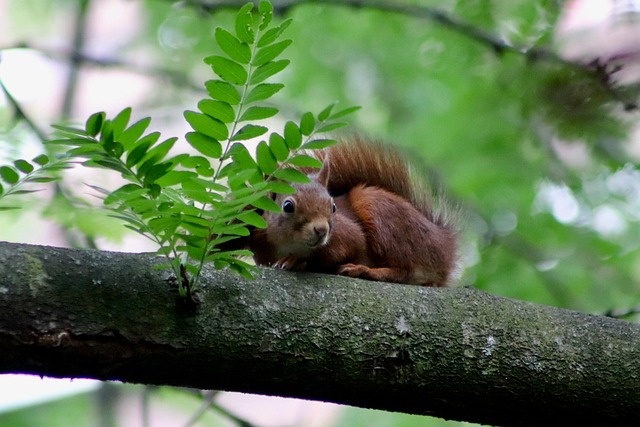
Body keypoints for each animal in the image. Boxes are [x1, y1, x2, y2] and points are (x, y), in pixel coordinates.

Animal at [227, 136, 458, 287]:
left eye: (333, 207)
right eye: (288, 206)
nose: (322, 230)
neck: (291, 243)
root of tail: (445, 243)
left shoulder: (348, 235)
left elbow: (341, 251)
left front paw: (296, 261)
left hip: (380, 210)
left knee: (405, 270)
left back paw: (364, 271)